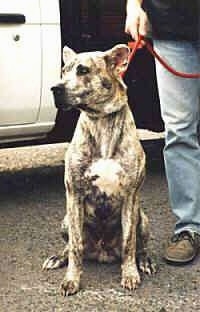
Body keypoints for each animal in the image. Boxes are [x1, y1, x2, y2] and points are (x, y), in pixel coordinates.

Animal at [42, 44, 156, 294]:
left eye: (83, 70)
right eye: (64, 71)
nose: (55, 88)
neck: (101, 120)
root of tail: (102, 251)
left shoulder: (130, 196)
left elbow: (129, 243)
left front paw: (130, 273)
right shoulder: (74, 194)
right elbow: (75, 246)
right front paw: (72, 279)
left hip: (142, 218)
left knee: (140, 245)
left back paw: (145, 261)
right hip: (66, 220)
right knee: (71, 247)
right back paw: (58, 257)